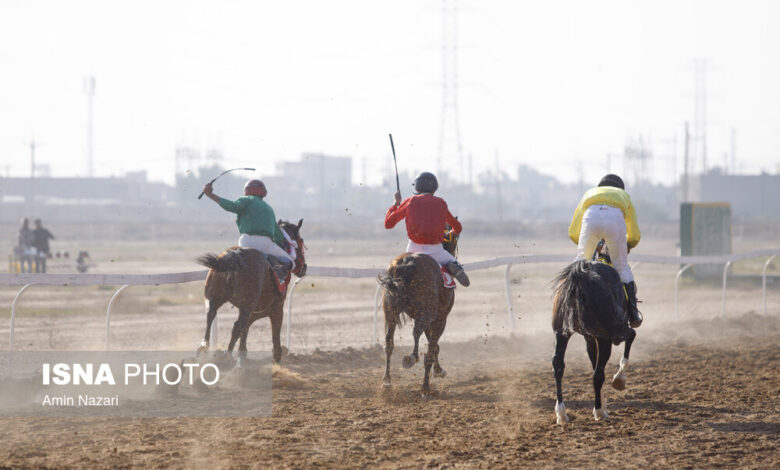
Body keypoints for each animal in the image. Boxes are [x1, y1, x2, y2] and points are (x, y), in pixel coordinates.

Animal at [193, 218, 306, 366]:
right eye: (301, 240)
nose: (304, 267)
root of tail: (235, 256)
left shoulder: (255, 309)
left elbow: (245, 329)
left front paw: (242, 355)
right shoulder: (275, 307)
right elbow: (273, 334)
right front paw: (276, 357)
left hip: (213, 297)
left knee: (210, 315)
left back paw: (204, 347)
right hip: (246, 305)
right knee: (236, 325)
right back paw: (226, 356)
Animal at [378, 231, 458, 396]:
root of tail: (406, 264)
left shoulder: (429, 320)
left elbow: (433, 346)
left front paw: (438, 370)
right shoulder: (440, 319)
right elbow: (432, 347)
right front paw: (435, 374)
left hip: (390, 311)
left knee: (389, 342)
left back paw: (387, 380)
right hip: (426, 314)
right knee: (417, 336)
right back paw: (416, 368)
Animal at [552, 250, 636, 426]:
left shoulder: (590, 338)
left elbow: (595, 364)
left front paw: (603, 404)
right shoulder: (611, 335)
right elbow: (631, 336)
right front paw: (619, 380)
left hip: (561, 332)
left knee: (558, 366)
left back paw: (561, 413)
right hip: (607, 336)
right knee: (597, 375)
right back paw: (598, 412)